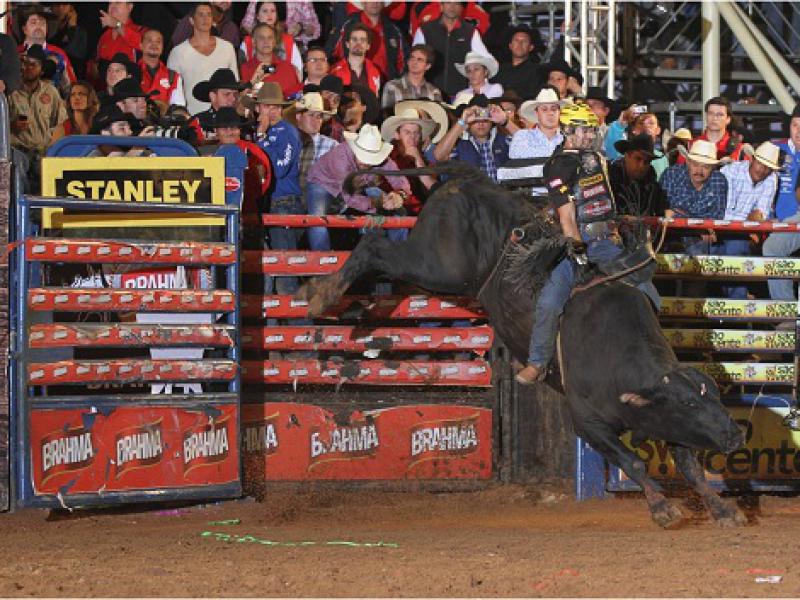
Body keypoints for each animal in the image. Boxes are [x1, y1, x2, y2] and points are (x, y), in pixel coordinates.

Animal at [296, 163, 747, 528]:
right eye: (687, 402)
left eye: (713, 396)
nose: (734, 435)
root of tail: (469, 178)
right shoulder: (587, 423)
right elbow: (633, 459)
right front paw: (662, 506)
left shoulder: (664, 420)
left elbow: (689, 464)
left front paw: (722, 508)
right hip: (439, 267)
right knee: (375, 246)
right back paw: (321, 293)